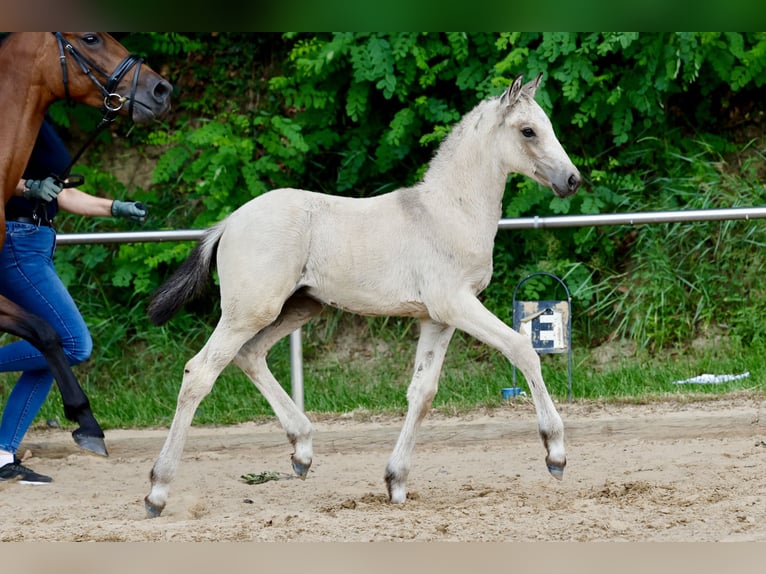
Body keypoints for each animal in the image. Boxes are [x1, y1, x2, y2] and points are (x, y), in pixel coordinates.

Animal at [0, 32, 172, 456]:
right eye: (91, 37)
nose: (162, 90)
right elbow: (44, 331)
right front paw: (84, 417)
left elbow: (46, 333)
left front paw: (87, 422)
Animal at [144, 73, 580, 517]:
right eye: (528, 131)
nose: (572, 179)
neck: (447, 212)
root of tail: (230, 221)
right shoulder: (455, 304)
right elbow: (522, 349)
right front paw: (555, 453)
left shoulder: (436, 318)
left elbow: (422, 393)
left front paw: (396, 481)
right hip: (248, 311)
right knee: (199, 373)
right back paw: (158, 490)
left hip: (299, 308)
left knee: (250, 355)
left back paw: (302, 451)